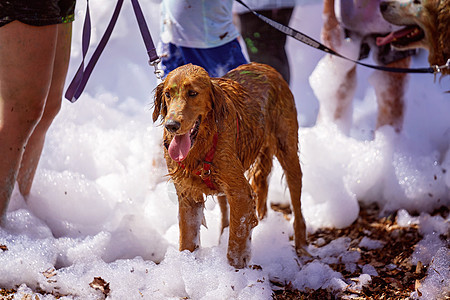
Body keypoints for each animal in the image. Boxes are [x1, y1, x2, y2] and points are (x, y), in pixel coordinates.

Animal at [153, 62, 308, 268]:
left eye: (193, 93)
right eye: (168, 94)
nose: (171, 125)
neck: (201, 146)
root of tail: (265, 66)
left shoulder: (240, 193)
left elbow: (236, 244)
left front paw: (235, 272)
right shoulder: (188, 196)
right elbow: (187, 242)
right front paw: (187, 267)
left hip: (288, 153)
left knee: (297, 207)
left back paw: (302, 248)